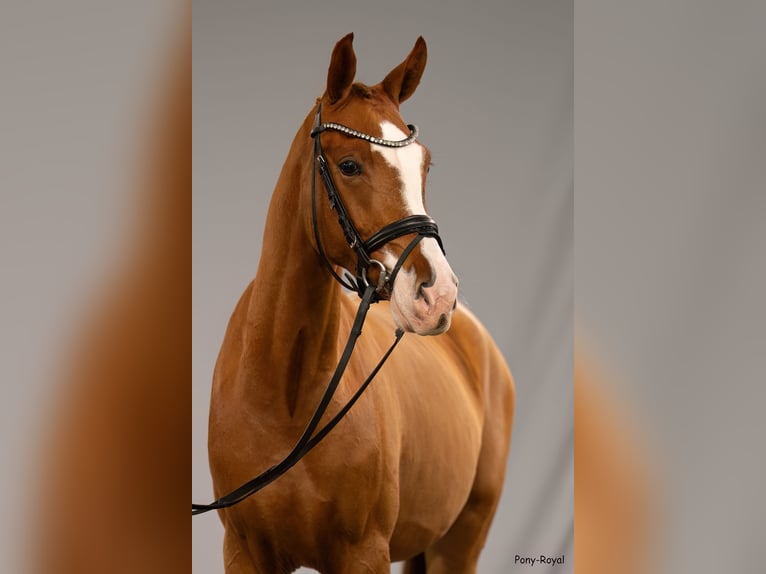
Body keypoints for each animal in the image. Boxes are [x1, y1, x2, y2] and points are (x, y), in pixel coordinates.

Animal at [206, 33, 515, 573]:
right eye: (349, 165)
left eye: (424, 165)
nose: (438, 295)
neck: (285, 398)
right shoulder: (243, 550)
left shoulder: (364, 552)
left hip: (460, 544)